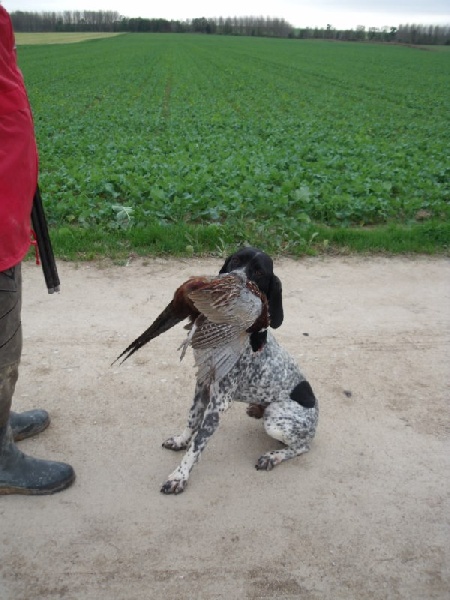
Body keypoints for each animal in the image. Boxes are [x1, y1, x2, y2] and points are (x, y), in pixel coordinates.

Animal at [160, 246, 318, 494]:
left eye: (259, 272)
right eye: (235, 260)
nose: (232, 280)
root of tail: (316, 414)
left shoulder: (218, 404)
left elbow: (198, 443)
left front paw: (180, 475)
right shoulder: (202, 384)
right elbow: (192, 419)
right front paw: (180, 440)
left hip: (276, 420)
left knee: (302, 447)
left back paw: (272, 456)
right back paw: (255, 410)